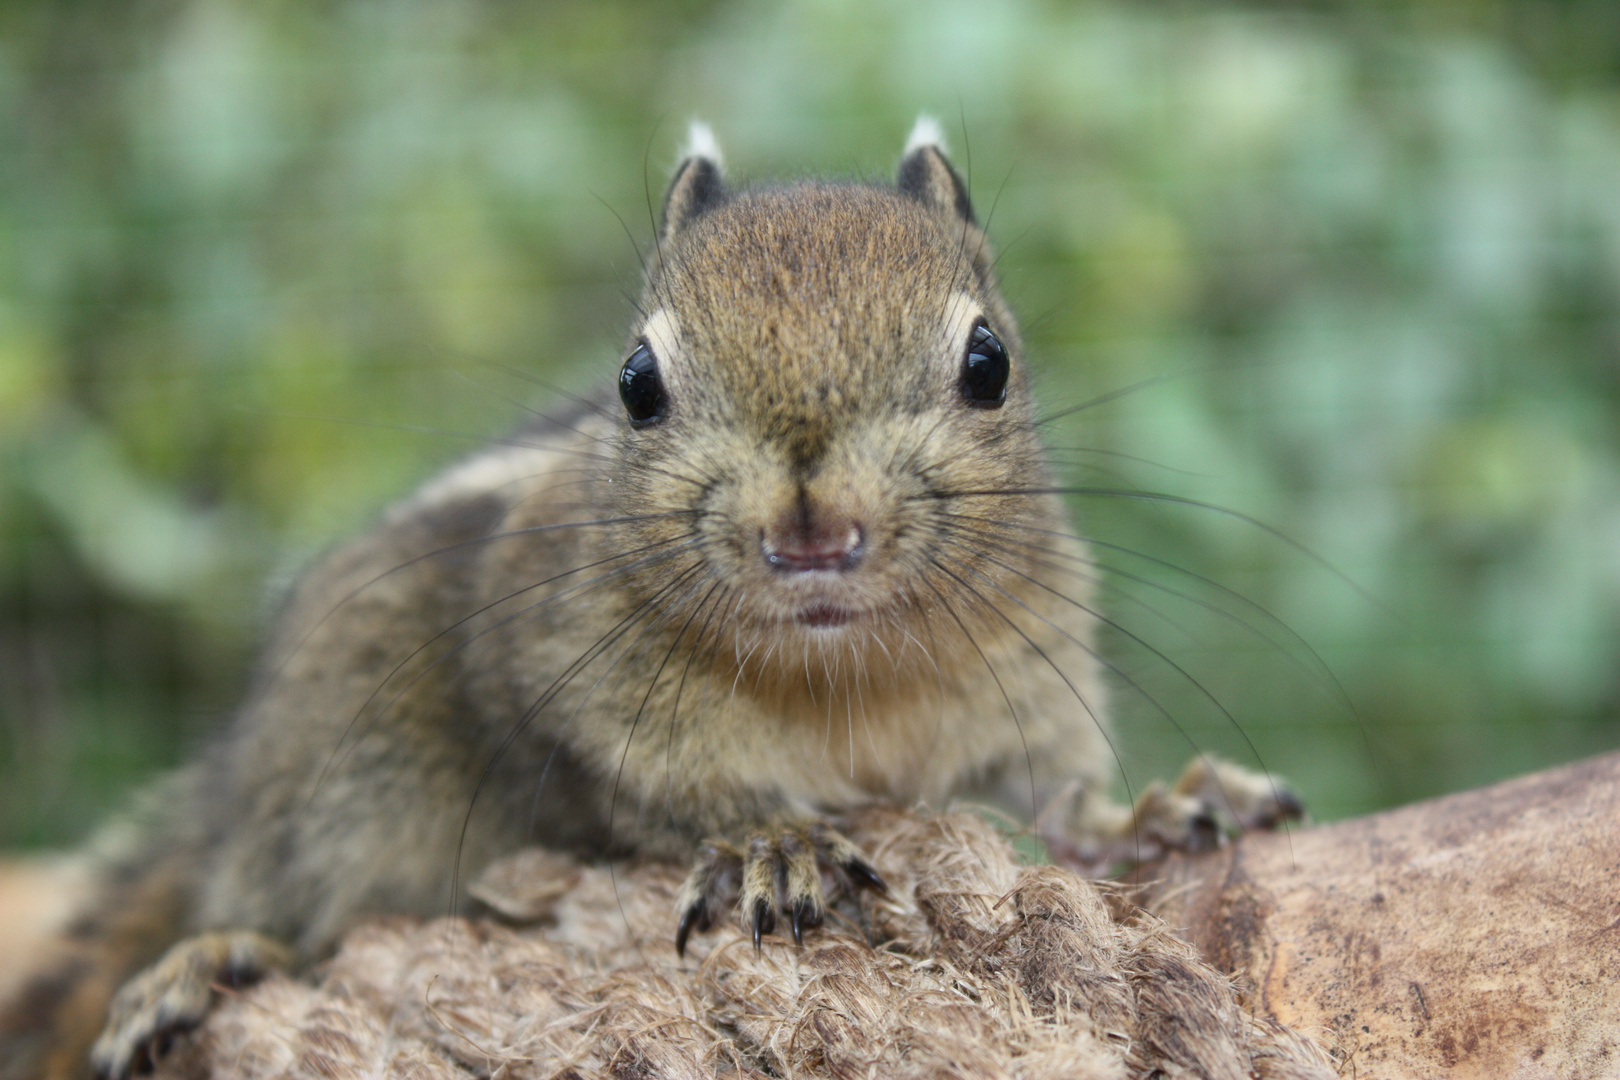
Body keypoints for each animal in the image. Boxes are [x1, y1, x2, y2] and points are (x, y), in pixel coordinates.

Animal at [0, 120, 1296, 1080]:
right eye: (635, 383)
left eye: (990, 363)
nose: (811, 529)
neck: (843, 675)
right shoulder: (566, 673)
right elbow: (656, 786)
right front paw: (771, 838)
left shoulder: (1032, 665)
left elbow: (1061, 794)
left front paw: (1152, 810)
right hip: (329, 783)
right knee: (278, 897)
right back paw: (215, 953)